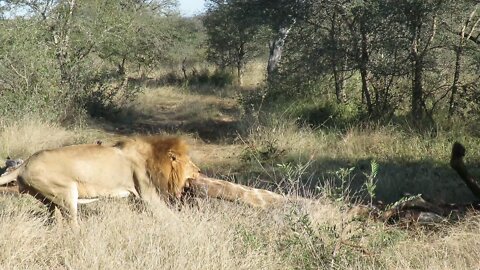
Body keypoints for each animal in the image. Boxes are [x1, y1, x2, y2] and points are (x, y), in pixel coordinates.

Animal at [0, 135, 200, 226]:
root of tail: (24, 164)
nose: (199, 170)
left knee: (54, 218)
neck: (153, 158)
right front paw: (186, 227)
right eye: (190, 163)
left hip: (50, 199)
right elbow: (169, 216)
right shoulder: (148, 195)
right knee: (72, 224)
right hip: (67, 193)